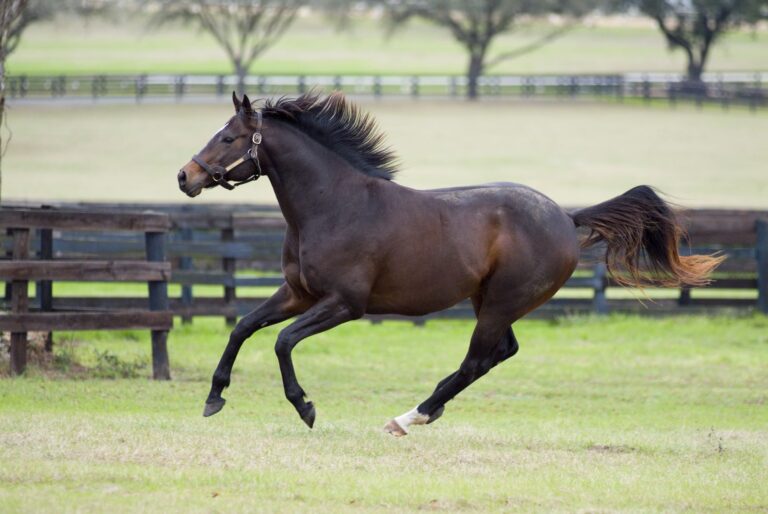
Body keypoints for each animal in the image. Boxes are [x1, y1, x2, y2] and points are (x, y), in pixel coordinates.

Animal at [177, 92, 724, 436]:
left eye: (228, 138)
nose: (185, 177)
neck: (334, 205)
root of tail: (567, 219)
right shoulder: (298, 293)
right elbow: (242, 327)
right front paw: (213, 398)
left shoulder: (344, 304)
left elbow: (282, 341)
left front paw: (306, 407)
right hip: (490, 301)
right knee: (500, 353)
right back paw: (423, 413)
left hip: (500, 302)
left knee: (478, 359)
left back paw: (408, 418)